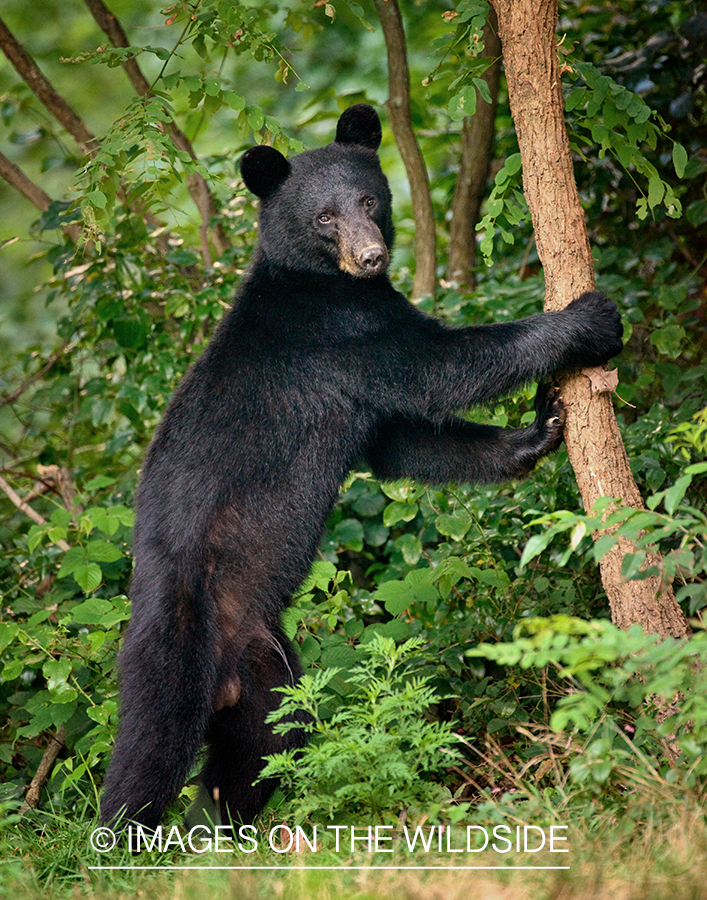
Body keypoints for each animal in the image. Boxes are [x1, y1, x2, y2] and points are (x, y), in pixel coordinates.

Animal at [101, 100, 624, 828]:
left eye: (369, 198)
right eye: (324, 217)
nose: (370, 255)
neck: (316, 278)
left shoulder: (359, 386)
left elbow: (402, 442)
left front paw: (541, 427)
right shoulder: (342, 332)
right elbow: (440, 365)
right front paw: (589, 319)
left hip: (269, 672)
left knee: (260, 750)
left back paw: (232, 831)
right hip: (174, 646)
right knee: (147, 756)